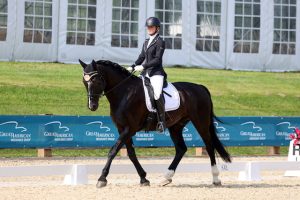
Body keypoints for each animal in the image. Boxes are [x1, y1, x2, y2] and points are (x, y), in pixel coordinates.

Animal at [78, 59, 231, 188]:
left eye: (96, 81)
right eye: (85, 82)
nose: (92, 106)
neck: (125, 93)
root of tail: (200, 87)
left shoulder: (129, 129)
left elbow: (113, 151)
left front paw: (102, 178)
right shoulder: (122, 129)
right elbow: (131, 154)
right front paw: (143, 179)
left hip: (201, 122)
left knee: (209, 146)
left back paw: (216, 179)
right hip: (176, 126)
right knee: (181, 149)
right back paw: (166, 178)